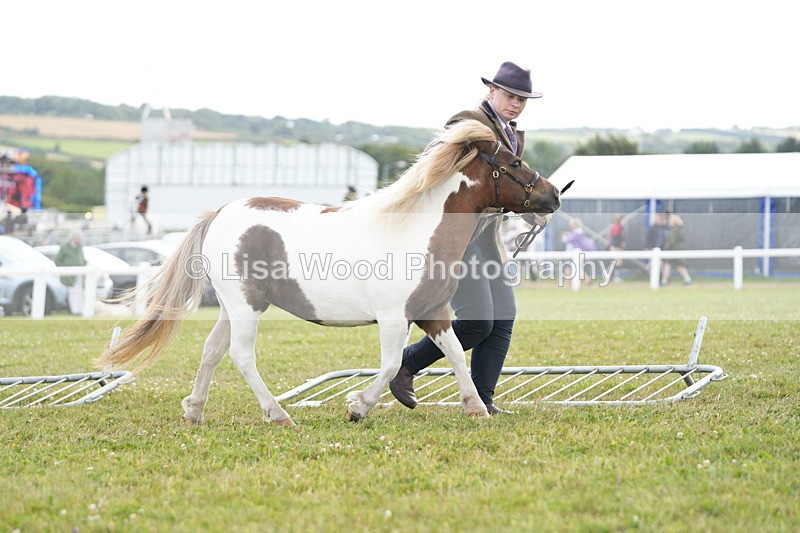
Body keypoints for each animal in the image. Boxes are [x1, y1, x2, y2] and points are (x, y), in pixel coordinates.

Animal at [97, 120, 561, 425]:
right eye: (514, 161)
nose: (554, 194)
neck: (416, 228)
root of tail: (219, 213)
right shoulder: (394, 318)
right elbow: (391, 365)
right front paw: (357, 407)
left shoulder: (433, 313)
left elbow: (455, 357)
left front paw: (476, 407)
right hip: (245, 308)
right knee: (241, 356)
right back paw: (277, 414)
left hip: (233, 307)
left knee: (212, 351)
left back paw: (194, 411)